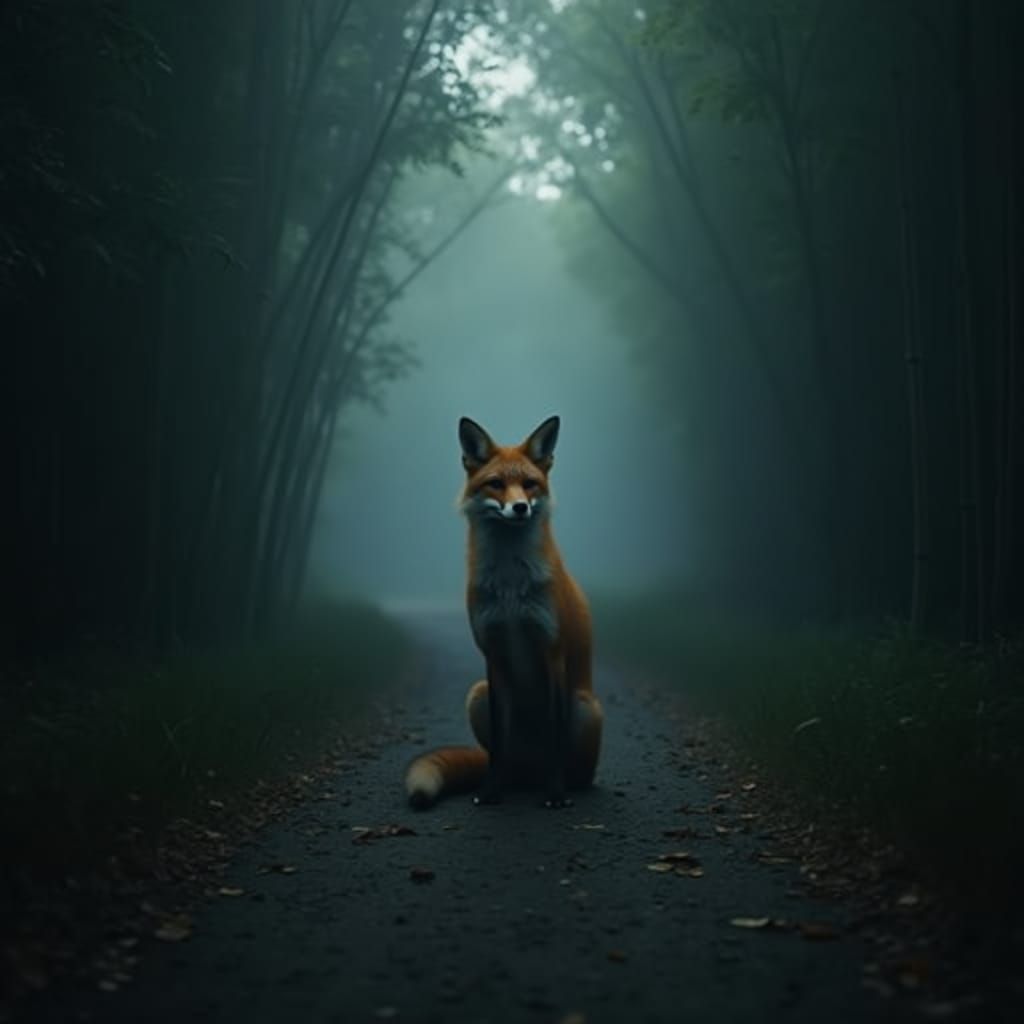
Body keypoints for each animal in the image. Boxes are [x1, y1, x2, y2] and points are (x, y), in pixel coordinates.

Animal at [404, 415, 603, 810]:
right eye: (496, 484)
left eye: (529, 484)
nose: (520, 507)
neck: (511, 589)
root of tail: (528, 771)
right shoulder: (493, 653)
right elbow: (498, 737)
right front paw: (490, 793)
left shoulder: (552, 650)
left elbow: (555, 735)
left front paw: (555, 795)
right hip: (477, 694)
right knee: (502, 759)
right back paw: (508, 783)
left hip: (585, 707)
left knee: (575, 770)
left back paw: (563, 785)